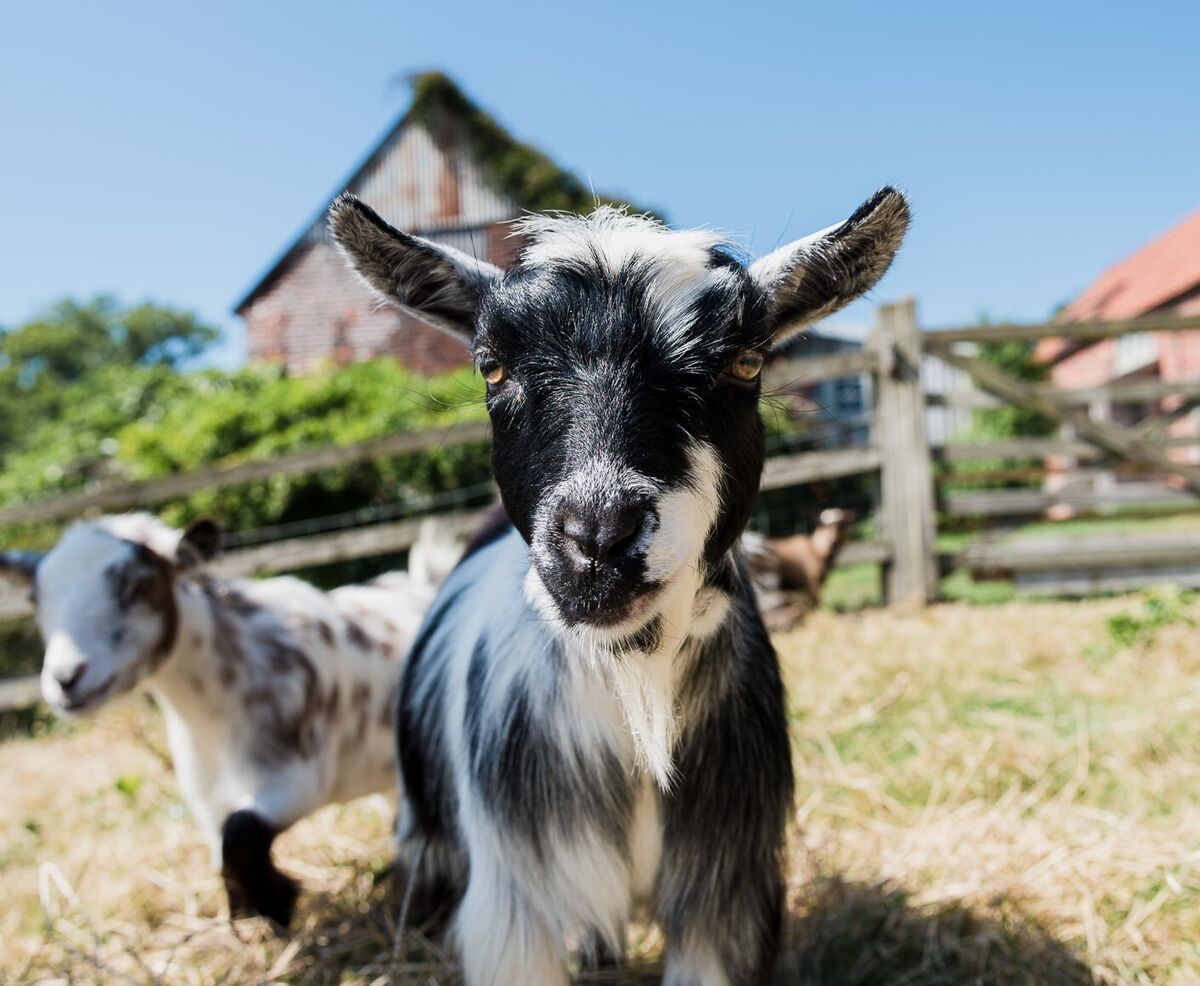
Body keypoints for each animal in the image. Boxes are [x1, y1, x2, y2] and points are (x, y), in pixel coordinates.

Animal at [0, 513, 437, 926]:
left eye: (139, 586)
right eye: (34, 599)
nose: (65, 679)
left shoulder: (295, 776)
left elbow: (239, 834)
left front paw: (276, 900)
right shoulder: (204, 796)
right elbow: (223, 850)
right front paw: (251, 911)